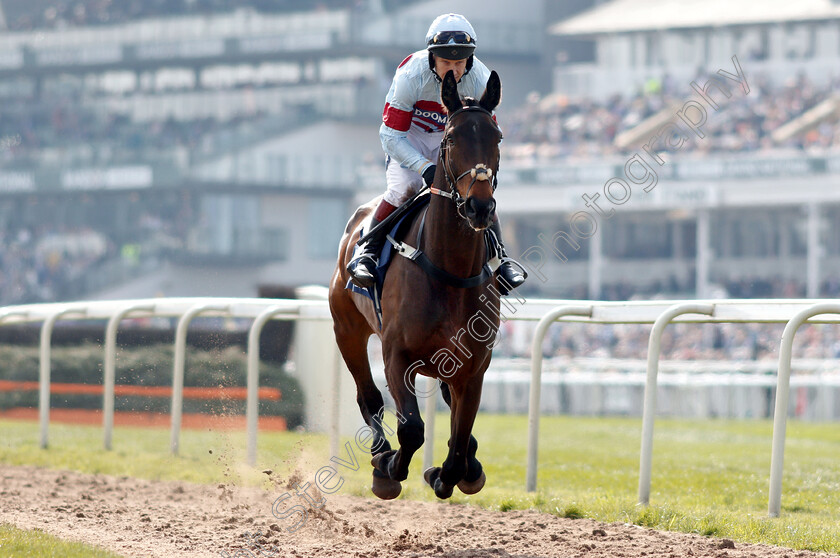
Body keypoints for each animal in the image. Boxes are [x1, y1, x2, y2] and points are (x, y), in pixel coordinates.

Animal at [326, 70, 498, 504]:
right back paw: (380, 454)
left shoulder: (473, 366)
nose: (479, 206)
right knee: (368, 397)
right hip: (347, 329)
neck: (449, 271)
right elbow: (411, 428)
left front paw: (450, 473)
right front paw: (389, 470)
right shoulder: (396, 355)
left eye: (497, 136)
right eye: (451, 137)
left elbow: (459, 439)